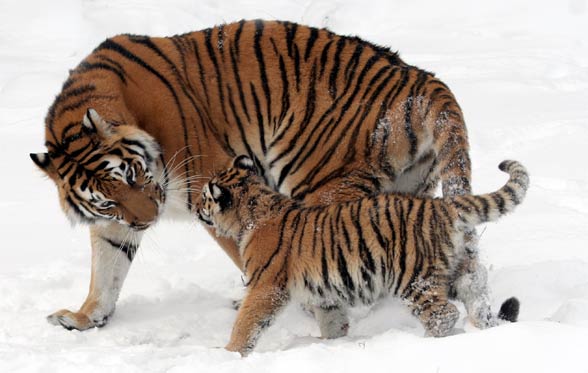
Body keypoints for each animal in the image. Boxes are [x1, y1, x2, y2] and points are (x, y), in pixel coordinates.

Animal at [28, 19, 506, 334]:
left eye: (131, 174)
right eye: (106, 199)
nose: (148, 220)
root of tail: (421, 78)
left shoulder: (212, 184)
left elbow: (251, 255)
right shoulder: (115, 223)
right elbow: (106, 268)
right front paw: (85, 318)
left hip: (318, 180)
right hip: (408, 190)